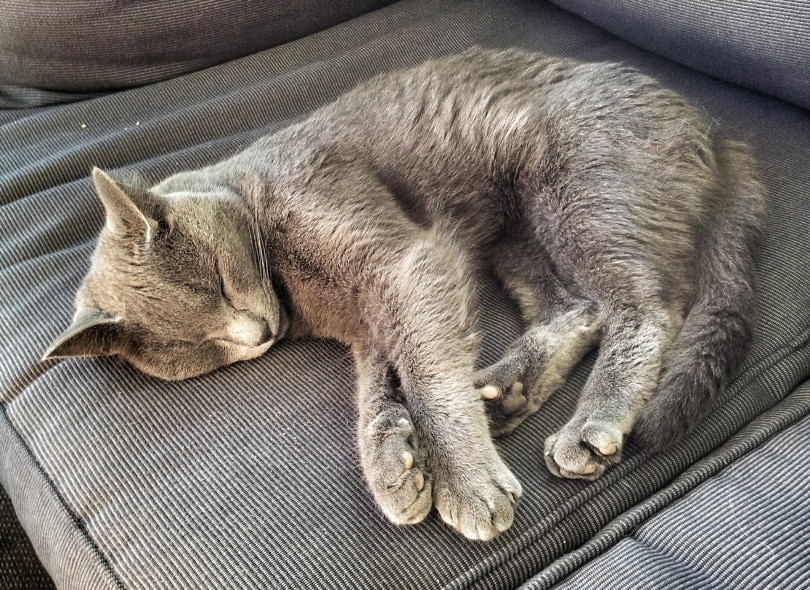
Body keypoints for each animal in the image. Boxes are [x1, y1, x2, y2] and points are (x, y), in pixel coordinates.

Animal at [44, 48, 764, 544]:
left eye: (217, 281)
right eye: (197, 347)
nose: (255, 336)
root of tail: (716, 126)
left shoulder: (405, 264)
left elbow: (424, 375)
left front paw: (466, 484)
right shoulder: (374, 318)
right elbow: (377, 388)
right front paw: (395, 466)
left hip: (576, 192)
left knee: (646, 306)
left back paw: (588, 423)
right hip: (517, 238)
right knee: (581, 308)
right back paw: (507, 391)